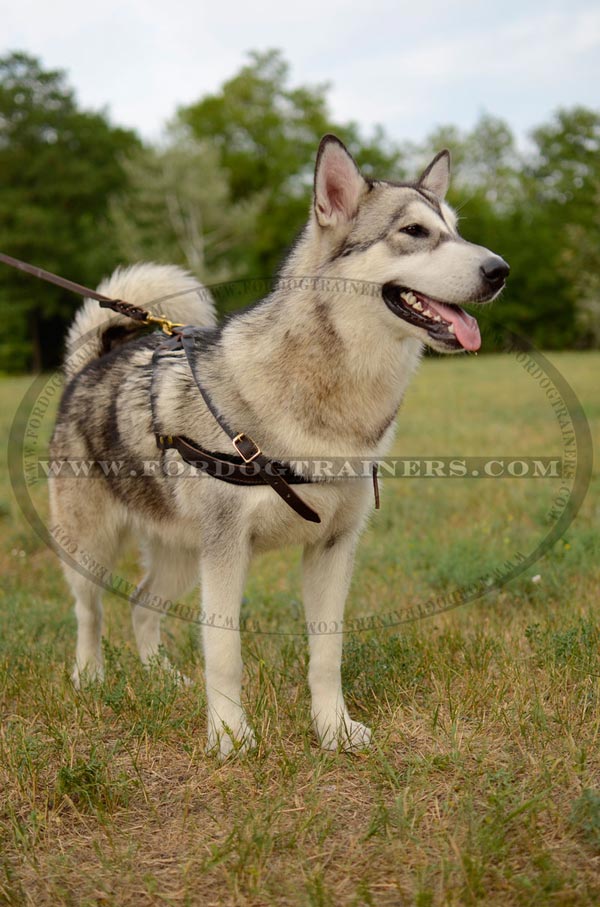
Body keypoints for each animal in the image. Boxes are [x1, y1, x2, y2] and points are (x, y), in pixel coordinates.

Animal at [50, 135, 506, 760]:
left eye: (456, 230)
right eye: (414, 231)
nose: (500, 270)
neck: (329, 396)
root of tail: (90, 364)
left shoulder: (333, 549)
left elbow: (327, 654)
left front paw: (333, 730)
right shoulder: (227, 551)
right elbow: (224, 654)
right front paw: (229, 738)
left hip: (180, 556)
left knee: (142, 605)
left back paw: (163, 679)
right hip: (94, 549)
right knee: (89, 613)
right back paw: (91, 678)